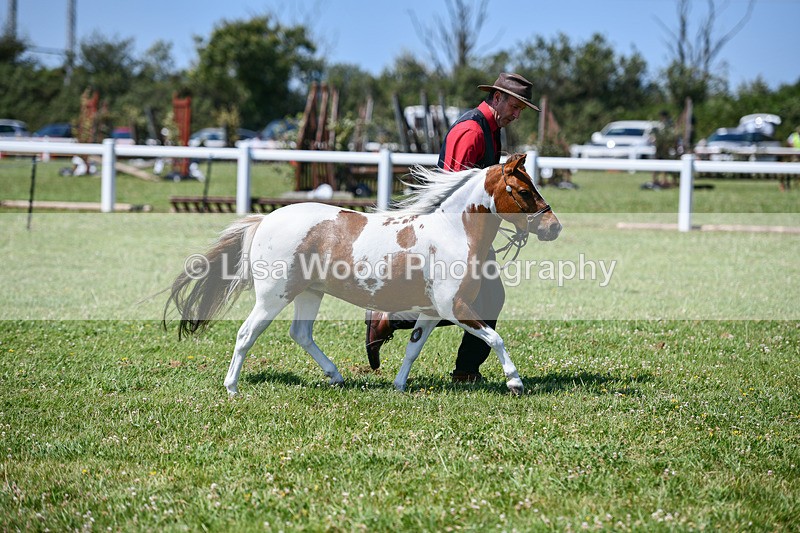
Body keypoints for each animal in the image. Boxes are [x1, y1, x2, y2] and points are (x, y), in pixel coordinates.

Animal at [164, 153, 561, 395]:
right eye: (523, 189)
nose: (554, 227)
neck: (453, 232)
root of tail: (264, 220)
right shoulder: (456, 307)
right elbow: (495, 338)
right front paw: (515, 382)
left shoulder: (432, 312)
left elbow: (413, 348)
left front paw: (399, 385)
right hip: (274, 295)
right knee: (247, 334)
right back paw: (232, 387)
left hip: (309, 293)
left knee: (301, 334)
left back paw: (335, 376)